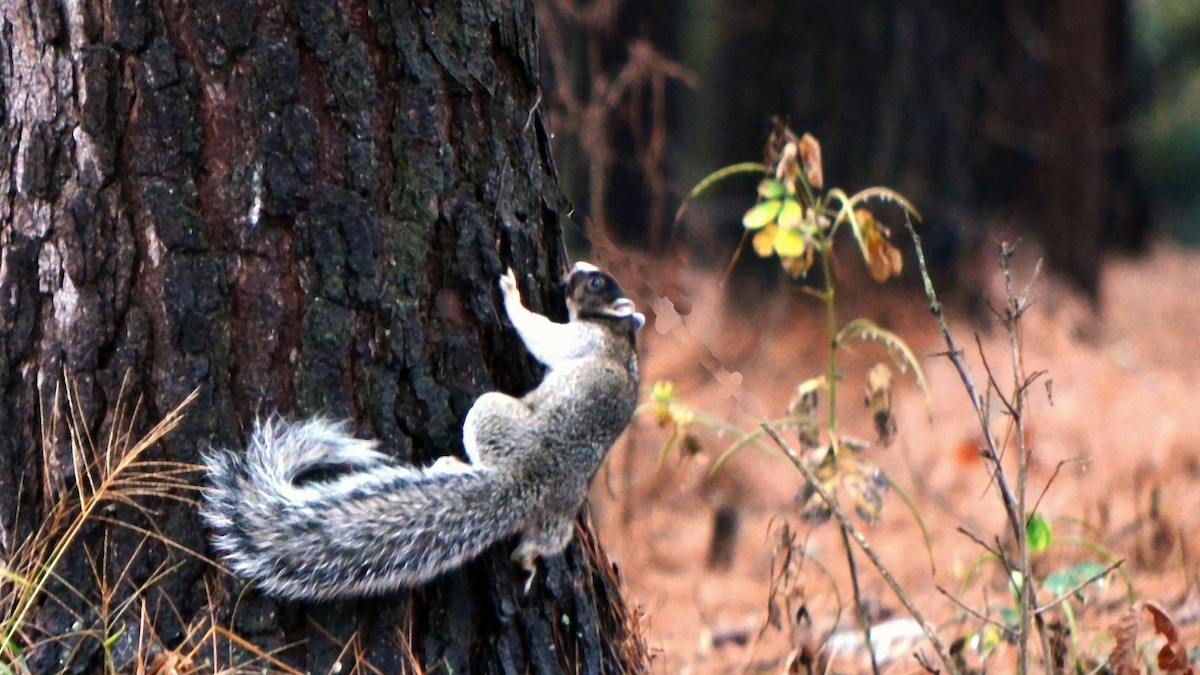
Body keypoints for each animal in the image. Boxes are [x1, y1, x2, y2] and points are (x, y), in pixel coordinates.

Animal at [201, 262, 644, 601]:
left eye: (596, 282)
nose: (572, 271)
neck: (620, 333)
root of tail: (524, 483)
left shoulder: (581, 339)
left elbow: (540, 335)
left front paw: (511, 293)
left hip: (488, 415)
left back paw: (449, 466)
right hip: (558, 521)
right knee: (543, 542)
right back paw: (528, 561)